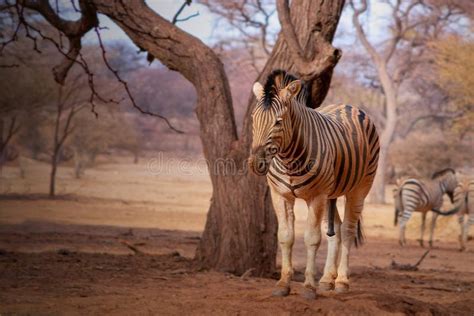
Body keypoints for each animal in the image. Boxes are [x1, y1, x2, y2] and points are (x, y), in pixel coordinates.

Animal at [248, 69, 378, 298]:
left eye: (278, 122)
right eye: (254, 119)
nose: (256, 163)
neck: (289, 159)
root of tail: (349, 106)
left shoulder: (316, 197)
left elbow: (312, 238)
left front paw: (309, 287)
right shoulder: (280, 195)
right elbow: (285, 236)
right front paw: (283, 284)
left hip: (360, 187)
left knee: (348, 230)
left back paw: (342, 282)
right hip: (330, 194)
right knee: (336, 230)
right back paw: (327, 280)